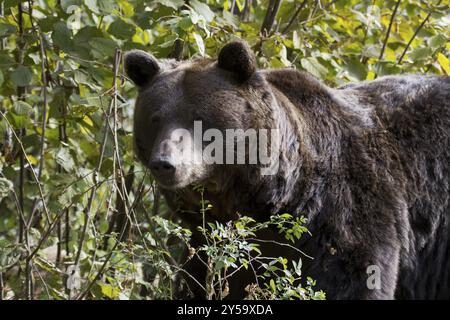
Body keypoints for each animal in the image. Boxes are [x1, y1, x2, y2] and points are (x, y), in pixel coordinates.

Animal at [124, 40, 450, 300]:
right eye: (155, 118)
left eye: (198, 117)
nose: (165, 163)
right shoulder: (215, 241)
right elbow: (202, 279)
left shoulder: (348, 208)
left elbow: (355, 278)